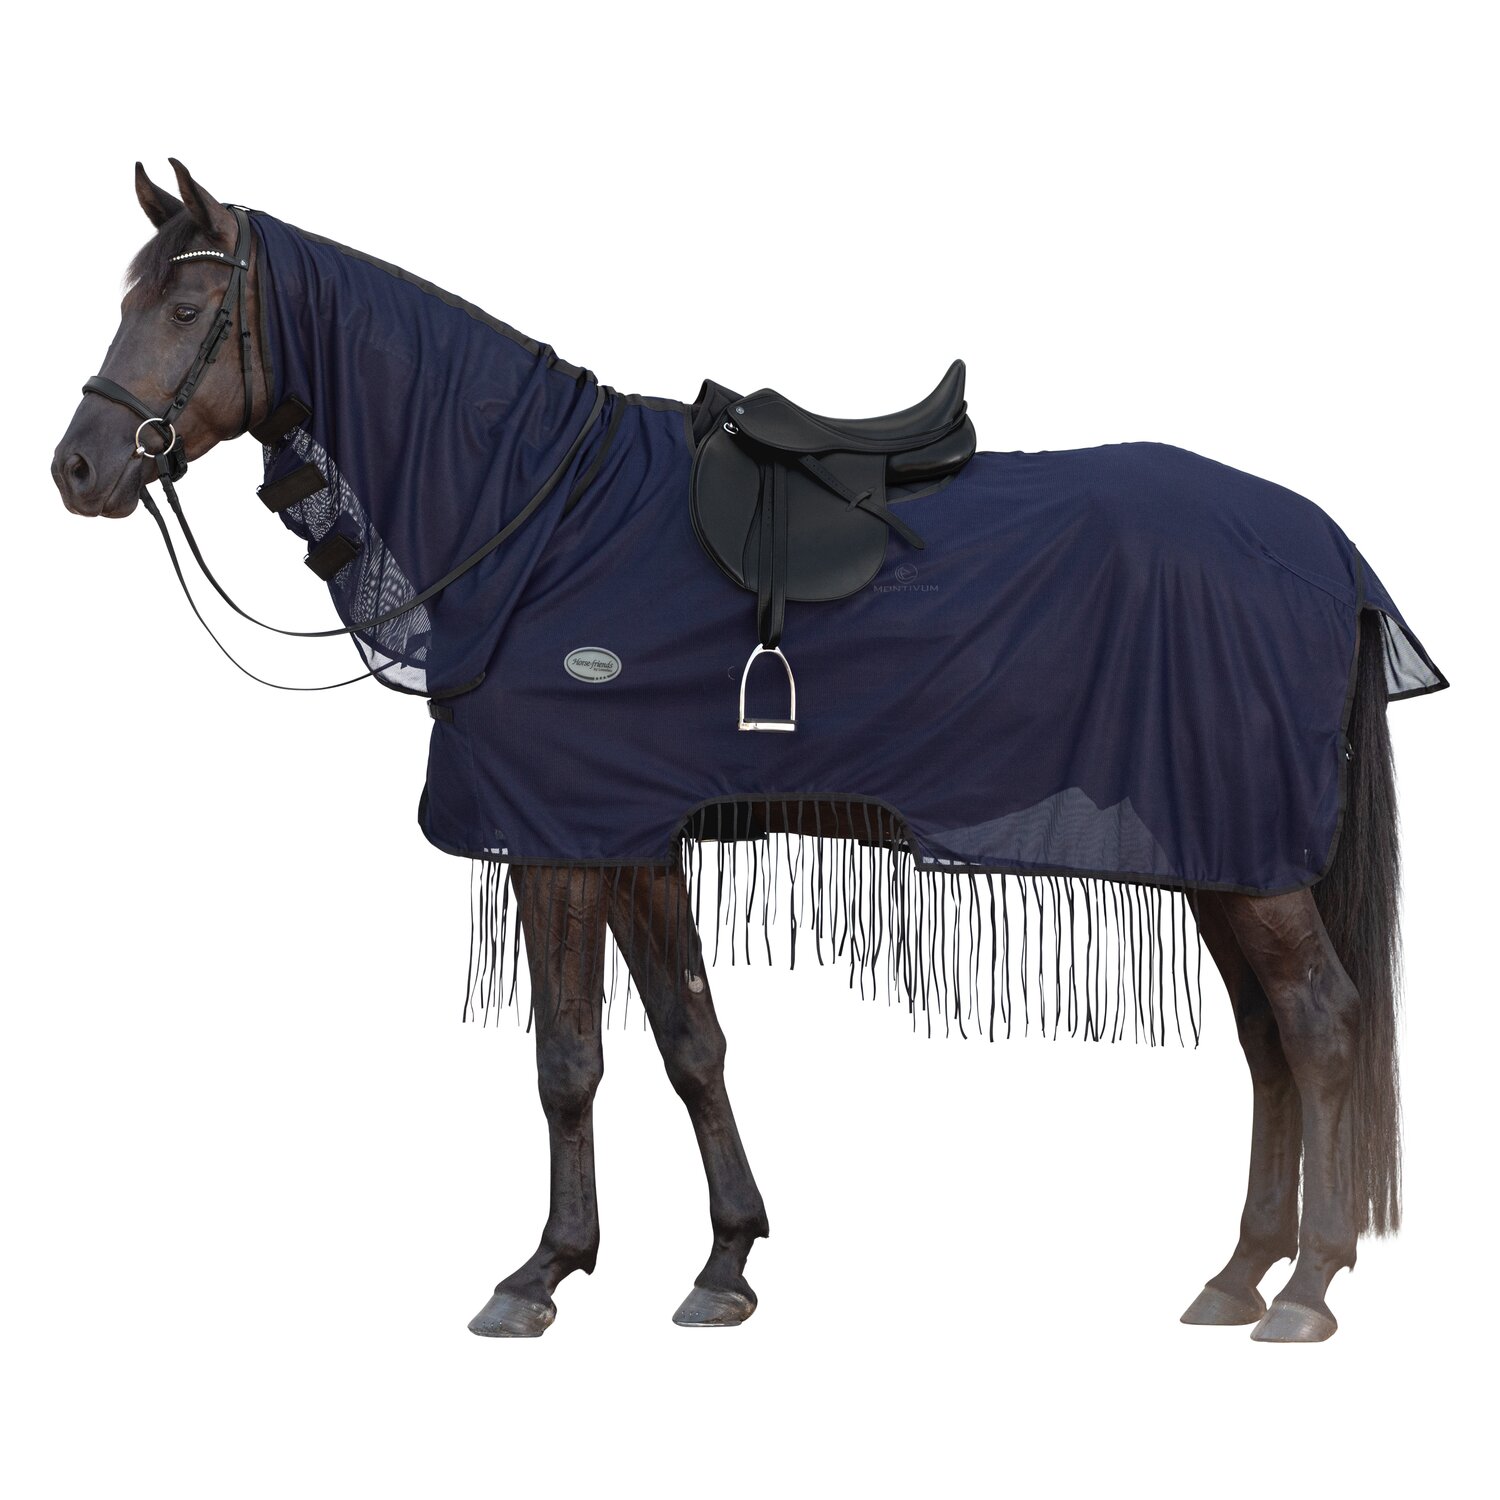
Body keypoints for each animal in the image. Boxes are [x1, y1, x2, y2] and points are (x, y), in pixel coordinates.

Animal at [51, 159, 1446, 1343]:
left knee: (1321, 1029)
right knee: (1270, 1043)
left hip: (1250, 860)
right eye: (128, 299)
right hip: (1224, 858)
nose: (77, 468)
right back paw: (1239, 1272)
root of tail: (1327, 550)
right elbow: (689, 1040)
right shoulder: (632, 835)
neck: (540, 521)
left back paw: (1306, 1287)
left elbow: (569, 1061)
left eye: (186, 305)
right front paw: (724, 1263)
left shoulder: (559, 839)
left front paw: (540, 1273)